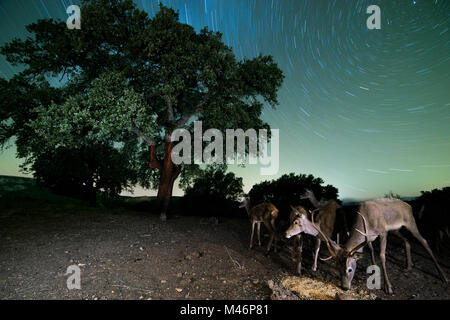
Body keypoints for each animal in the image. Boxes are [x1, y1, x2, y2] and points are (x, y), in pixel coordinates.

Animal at [312, 198, 448, 296]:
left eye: (349, 269)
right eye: (337, 268)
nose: (344, 287)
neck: (366, 221)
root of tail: (408, 206)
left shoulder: (383, 232)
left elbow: (382, 255)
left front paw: (388, 287)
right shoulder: (369, 237)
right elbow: (371, 250)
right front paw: (373, 271)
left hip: (410, 222)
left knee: (424, 241)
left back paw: (444, 277)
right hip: (396, 230)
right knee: (407, 240)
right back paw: (408, 266)